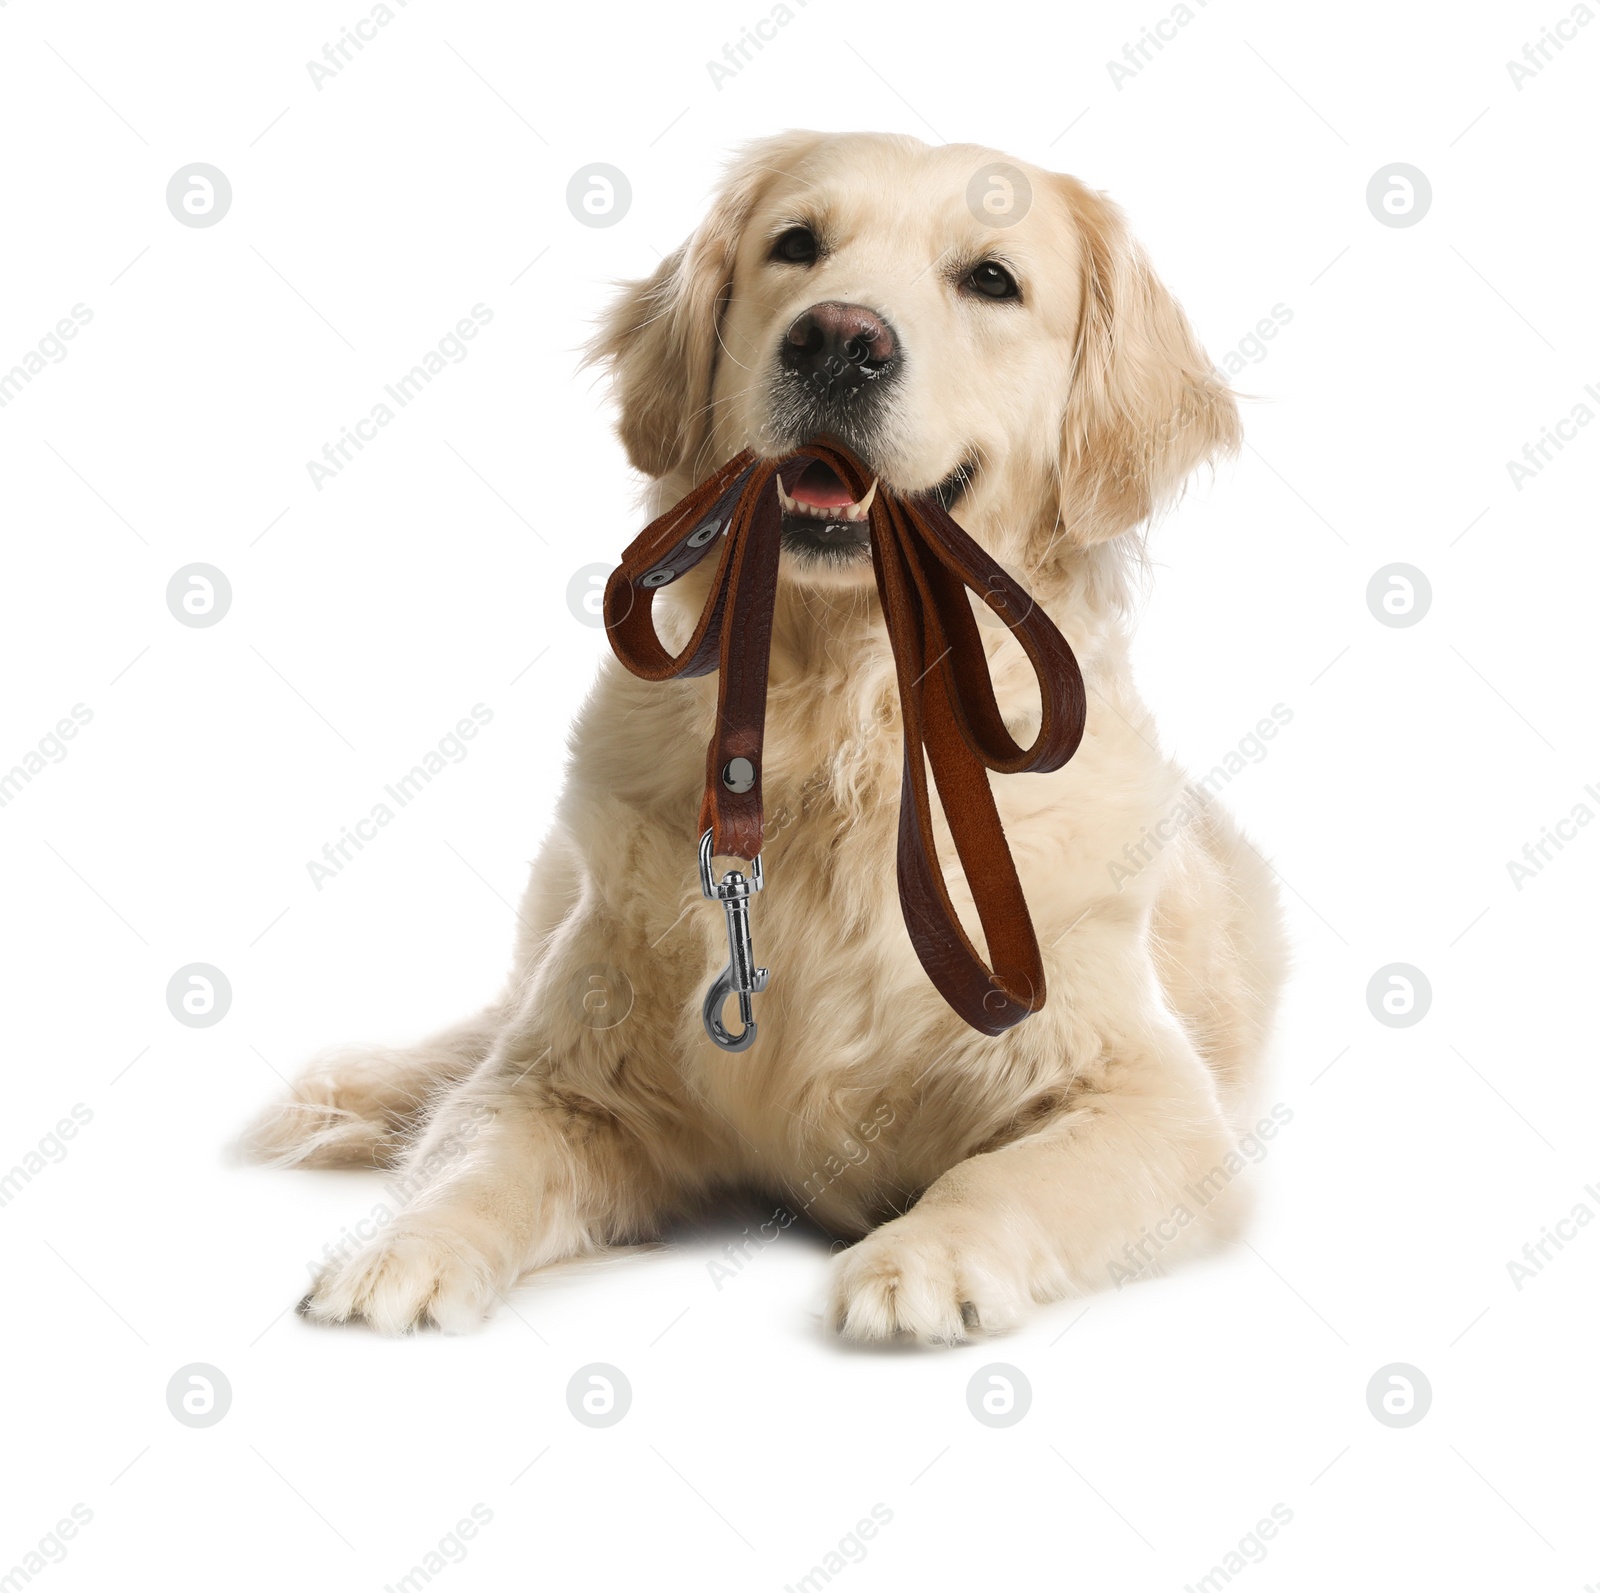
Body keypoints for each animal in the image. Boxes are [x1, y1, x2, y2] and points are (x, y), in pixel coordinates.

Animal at [240, 130, 1286, 1337]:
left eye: (991, 279)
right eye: (797, 245)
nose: (838, 341)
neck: (838, 732)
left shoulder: (1150, 1100)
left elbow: (1007, 1175)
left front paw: (925, 1258)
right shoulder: (567, 1069)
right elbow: (482, 1146)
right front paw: (404, 1248)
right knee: (470, 1047)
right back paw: (352, 1098)